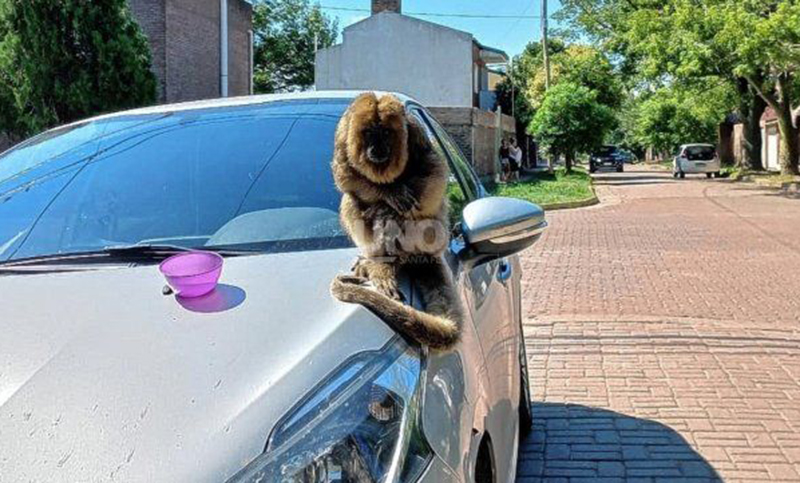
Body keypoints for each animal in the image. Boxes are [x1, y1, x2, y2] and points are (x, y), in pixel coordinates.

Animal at [329, 92, 462, 350]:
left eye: (385, 133)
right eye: (369, 133)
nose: (377, 147)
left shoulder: (415, 130)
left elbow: (434, 172)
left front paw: (392, 200)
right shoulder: (343, 131)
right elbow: (344, 174)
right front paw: (390, 193)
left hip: (427, 240)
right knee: (351, 199)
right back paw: (378, 262)